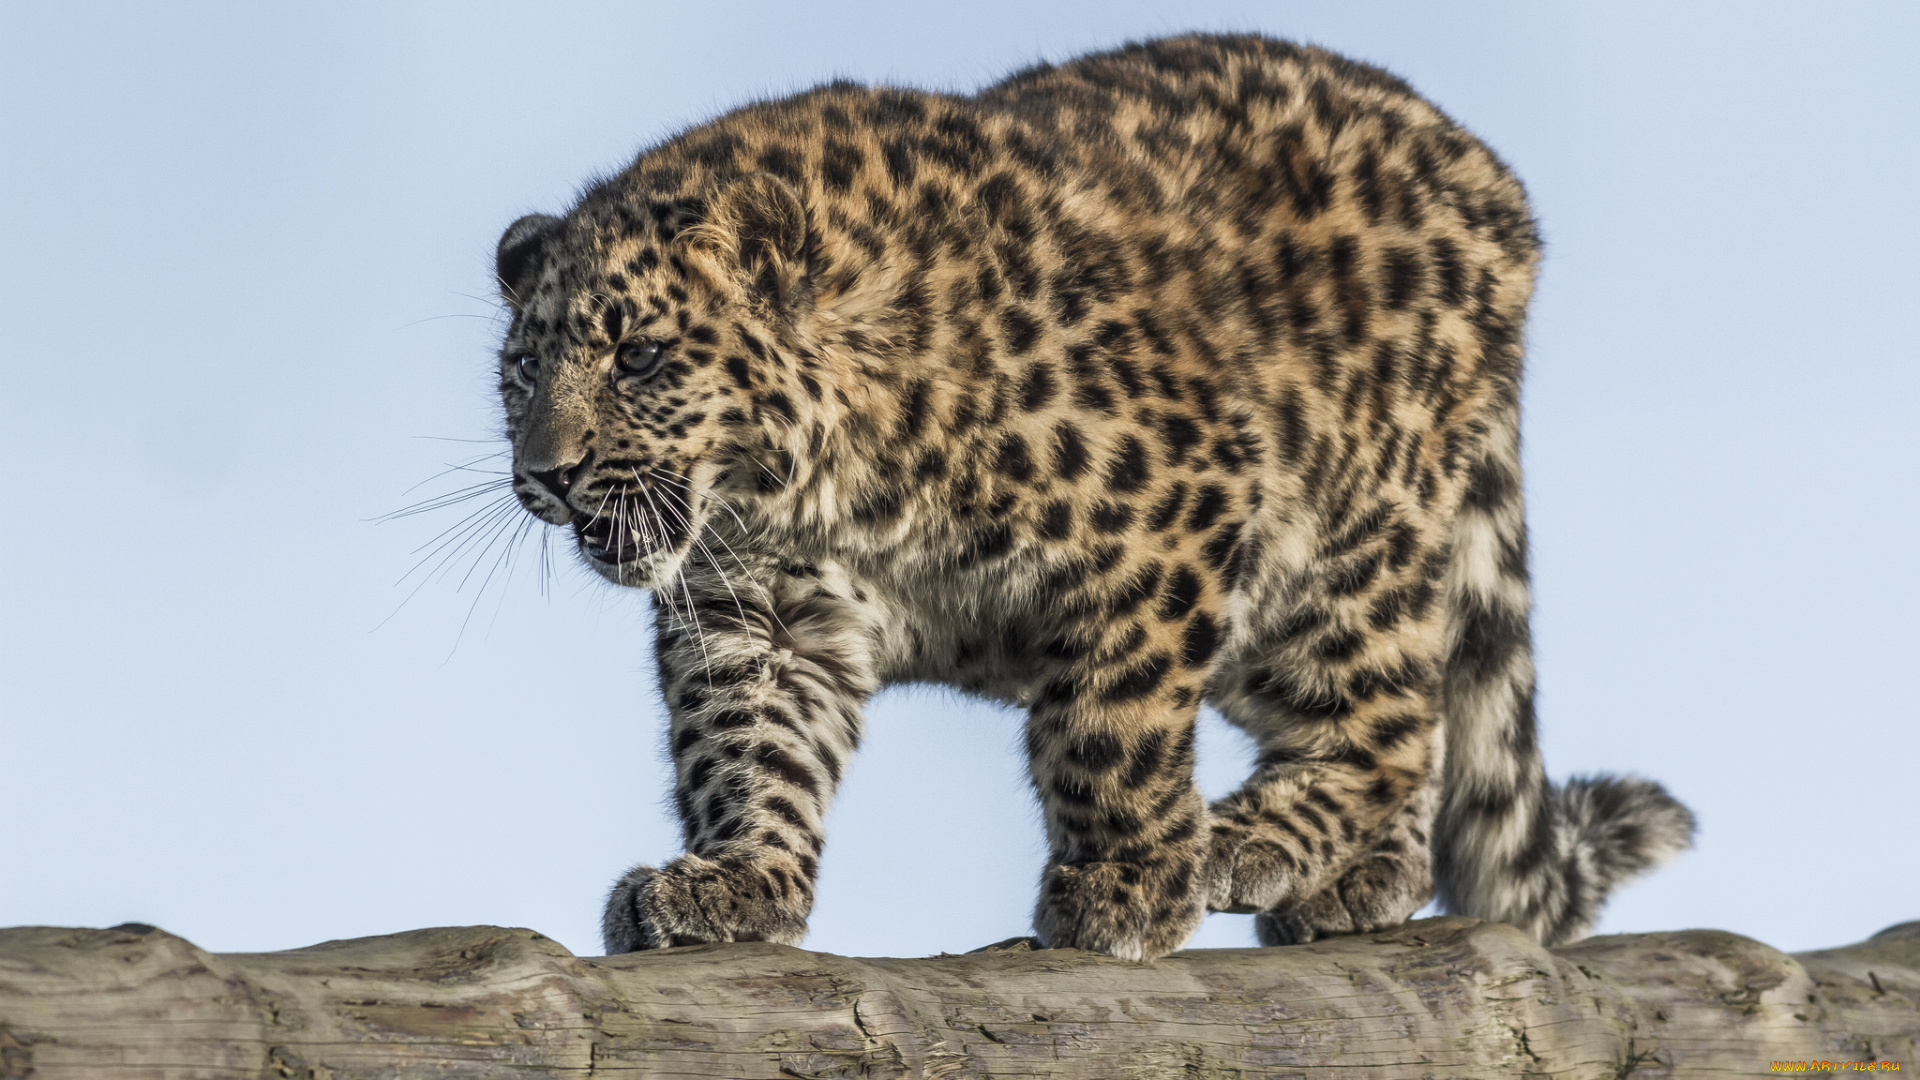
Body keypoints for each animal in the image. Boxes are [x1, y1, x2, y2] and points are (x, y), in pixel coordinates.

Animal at [488, 33, 1695, 961]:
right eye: (524, 369)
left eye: (640, 357)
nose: (546, 474)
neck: (815, 485)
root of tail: (1495, 184)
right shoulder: (762, 606)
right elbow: (746, 744)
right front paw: (734, 883)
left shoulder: (1177, 509)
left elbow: (1114, 726)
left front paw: (1128, 888)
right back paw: (1354, 883)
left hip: (1338, 544)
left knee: (1391, 719)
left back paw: (1243, 843)